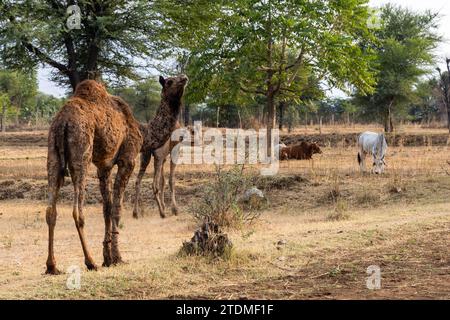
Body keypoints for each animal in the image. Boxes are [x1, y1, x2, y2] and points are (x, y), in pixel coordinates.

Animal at [134, 75, 190, 219]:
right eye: (169, 81)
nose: (184, 77)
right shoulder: (168, 152)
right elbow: (169, 181)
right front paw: (174, 209)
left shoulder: (164, 155)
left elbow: (164, 181)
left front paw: (167, 206)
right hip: (153, 156)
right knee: (151, 183)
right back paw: (160, 212)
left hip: (146, 155)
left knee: (139, 181)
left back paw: (136, 212)